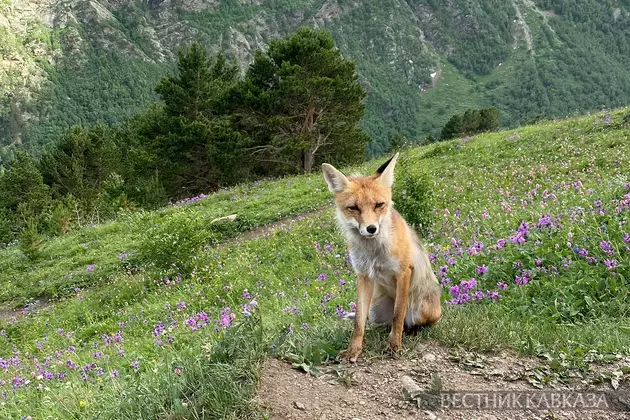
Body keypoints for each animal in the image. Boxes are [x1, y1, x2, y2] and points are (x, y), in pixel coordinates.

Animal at [324, 153, 442, 362]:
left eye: (379, 205)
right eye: (353, 208)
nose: (371, 229)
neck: (374, 252)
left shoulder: (403, 272)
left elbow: (398, 315)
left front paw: (394, 346)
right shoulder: (363, 275)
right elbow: (358, 321)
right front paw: (354, 350)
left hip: (422, 310)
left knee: (410, 322)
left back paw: (411, 331)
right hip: (375, 310)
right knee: (377, 322)